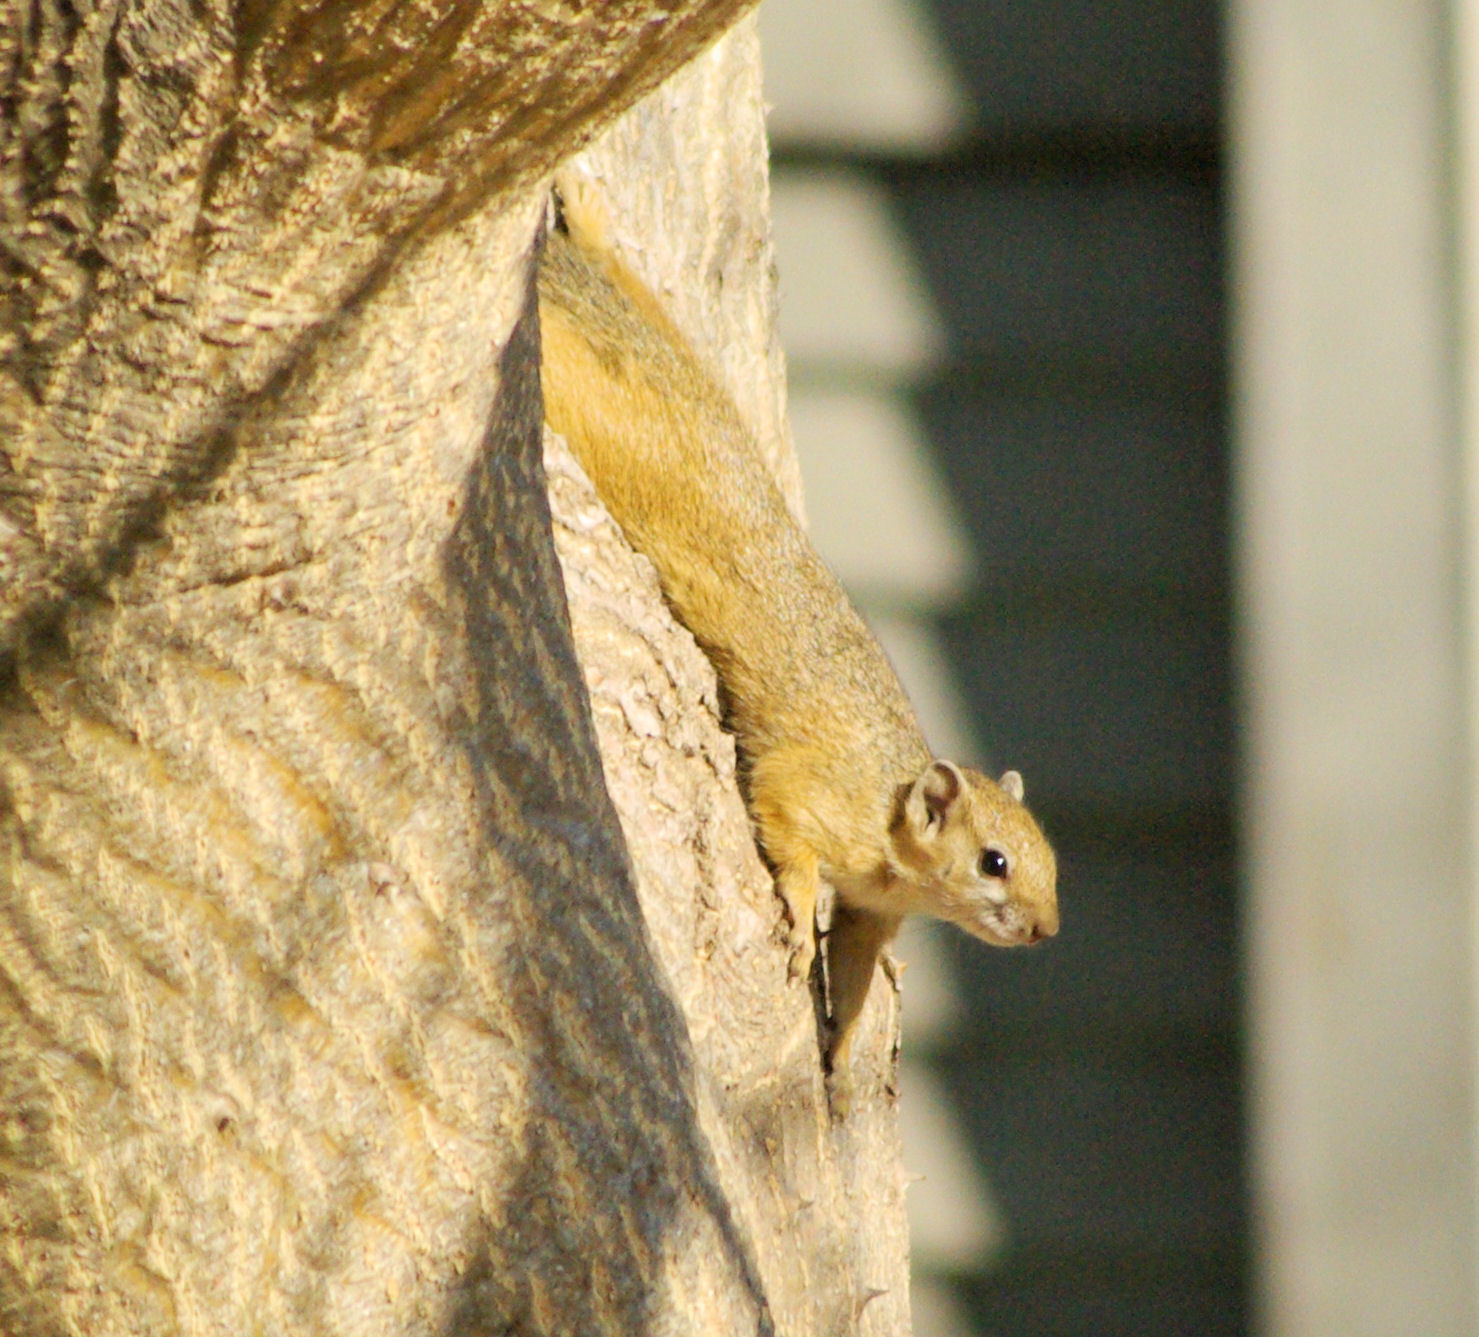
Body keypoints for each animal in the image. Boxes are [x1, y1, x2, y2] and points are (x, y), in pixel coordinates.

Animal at [538, 201, 1058, 1118]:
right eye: (993, 861)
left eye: (1050, 861)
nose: (1044, 928)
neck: (890, 832)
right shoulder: (812, 790)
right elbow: (784, 825)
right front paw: (794, 897)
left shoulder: (873, 915)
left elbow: (853, 974)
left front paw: (841, 1051)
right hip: (611, 428)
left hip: (659, 334)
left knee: (620, 274)